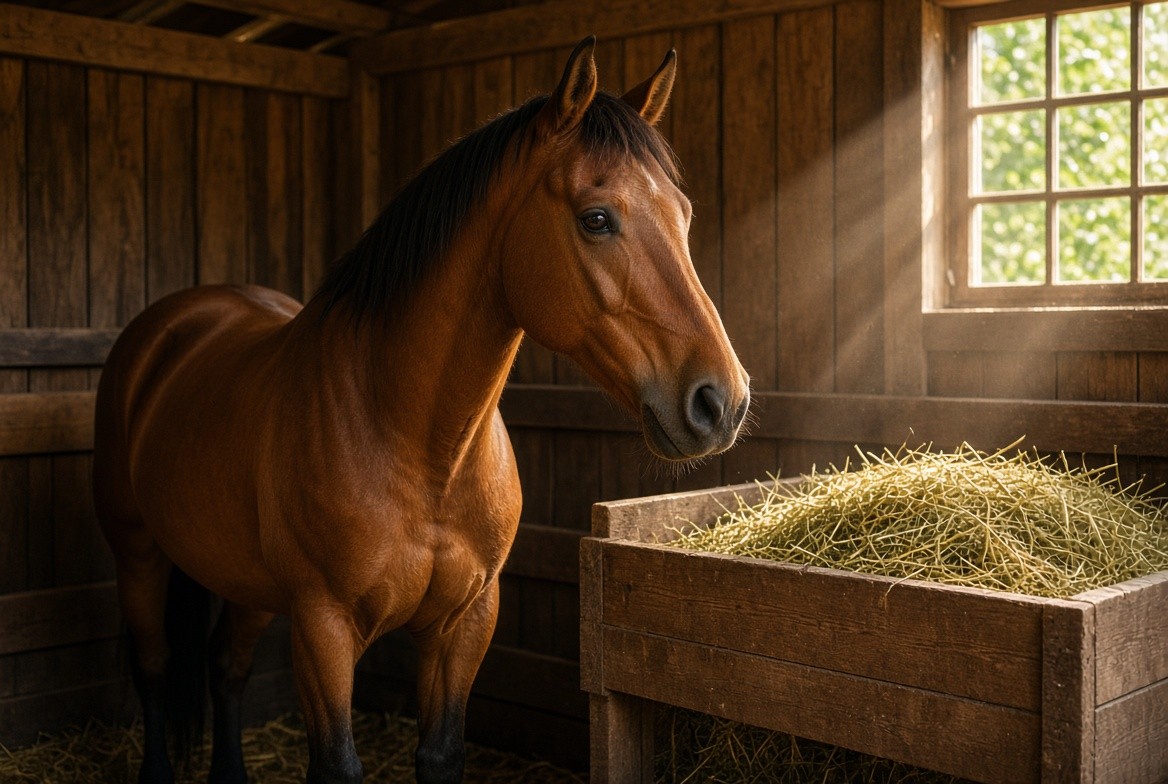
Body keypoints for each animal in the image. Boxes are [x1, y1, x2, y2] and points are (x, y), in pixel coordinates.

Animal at [93, 36, 749, 784]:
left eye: (684, 215)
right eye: (596, 218)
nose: (721, 401)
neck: (419, 445)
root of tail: (176, 321)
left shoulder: (466, 622)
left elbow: (440, 752)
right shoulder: (322, 628)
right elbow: (336, 763)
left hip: (244, 583)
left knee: (225, 668)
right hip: (137, 553)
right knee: (153, 667)